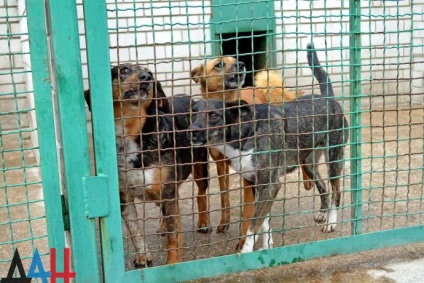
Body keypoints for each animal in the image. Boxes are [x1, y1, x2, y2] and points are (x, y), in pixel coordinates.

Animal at [84, 66, 209, 268]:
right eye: (124, 70)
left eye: (150, 72)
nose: (147, 77)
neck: (131, 133)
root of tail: (188, 97)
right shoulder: (124, 197)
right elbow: (135, 231)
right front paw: (143, 256)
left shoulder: (168, 192)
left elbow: (173, 239)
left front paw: (173, 264)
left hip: (200, 168)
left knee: (201, 194)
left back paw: (204, 222)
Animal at [190, 56, 310, 239]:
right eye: (219, 64)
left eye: (234, 59)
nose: (241, 64)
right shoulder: (222, 165)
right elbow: (224, 196)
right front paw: (224, 222)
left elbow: (249, 211)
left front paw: (244, 238)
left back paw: (307, 179)